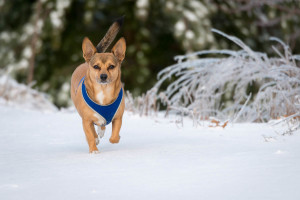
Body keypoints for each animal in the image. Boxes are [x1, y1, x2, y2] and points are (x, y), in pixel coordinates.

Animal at [70, 18, 125, 153]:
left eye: (111, 66)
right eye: (96, 66)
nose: (103, 76)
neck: (103, 91)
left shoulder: (118, 117)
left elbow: (114, 136)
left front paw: (116, 138)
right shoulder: (86, 120)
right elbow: (90, 135)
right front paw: (94, 150)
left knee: (102, 125)